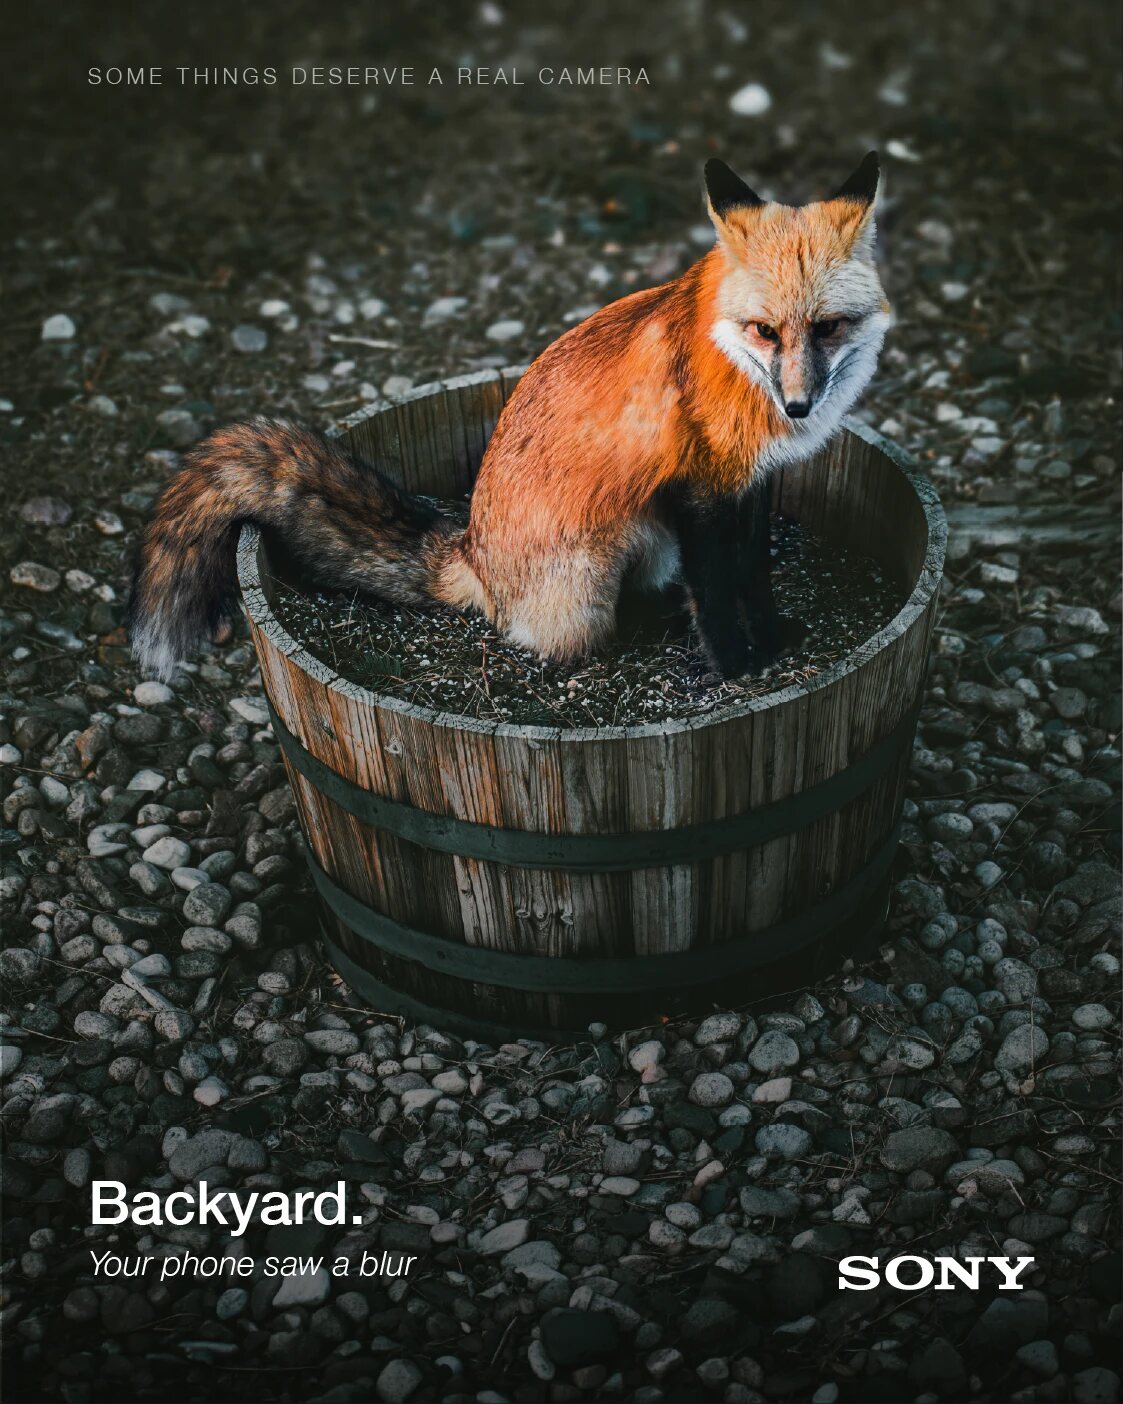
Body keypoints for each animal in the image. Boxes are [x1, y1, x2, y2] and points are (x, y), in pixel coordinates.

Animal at [130, 152, 890, 683]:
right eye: (764, 330)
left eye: (826, 327)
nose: (798, 405)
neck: (730, 362)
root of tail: (471, 554)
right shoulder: (697, 491)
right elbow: (718, 590)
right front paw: (734, 664)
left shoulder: (749, 485)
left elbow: (752, 574)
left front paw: (770, 638)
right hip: (601, 566)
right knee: (558, 638)